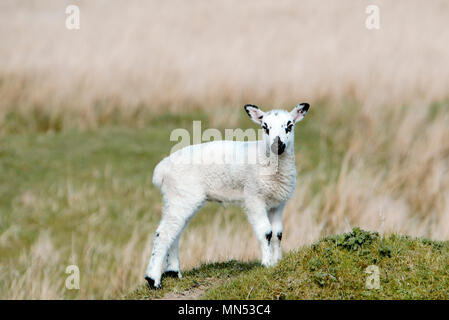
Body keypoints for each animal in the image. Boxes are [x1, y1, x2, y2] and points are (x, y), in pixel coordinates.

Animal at [145, 102, 310, 288]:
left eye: (290, 126)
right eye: (264, 127)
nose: (278, 145)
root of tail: (163, 167)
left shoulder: (278, 203)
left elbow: (277, 234)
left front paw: (277, 262)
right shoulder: (254, 198)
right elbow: (266, 232)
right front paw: (267, 264)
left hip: (178, 198)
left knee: (175, 232)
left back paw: (173, 272)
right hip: (182, 197)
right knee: (163, 234)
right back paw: (153, 280)